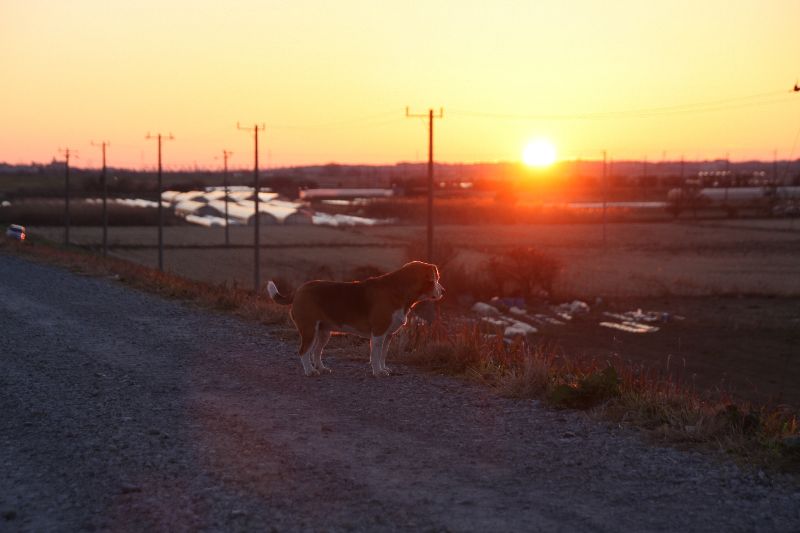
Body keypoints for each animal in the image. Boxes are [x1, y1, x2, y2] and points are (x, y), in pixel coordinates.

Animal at [267, 261, 445, 377]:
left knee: (316, 351)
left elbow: (383, 355)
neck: (399, 290)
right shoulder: (378, 333)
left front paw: (383, 369)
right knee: (304, 351)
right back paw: (310, 371)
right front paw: (377, 372)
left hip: (324, 332)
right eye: (435, 279)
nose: (443, 291)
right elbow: (375, 355)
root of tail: (299, 290)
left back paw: (321, 368)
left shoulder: (388, 335)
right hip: (309, 329)